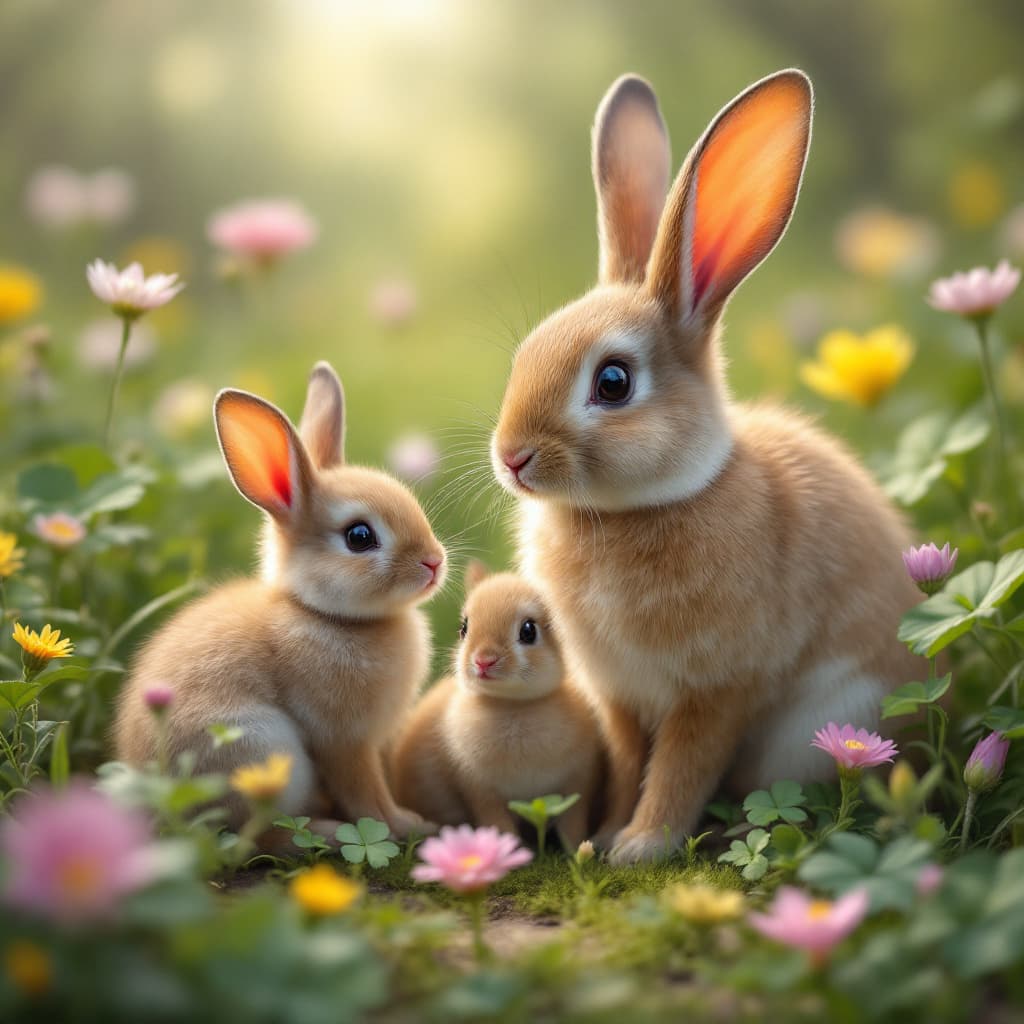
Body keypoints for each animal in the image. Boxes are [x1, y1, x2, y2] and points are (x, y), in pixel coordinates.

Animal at [114, 361, 446, 840]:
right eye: (359, 536)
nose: (434, 562)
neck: (322, 614)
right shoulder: (345, 740)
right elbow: (366, 795)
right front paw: (405, 825)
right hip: (261, 749)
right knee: (265, 833)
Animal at [391, 561, 603, 848]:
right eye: (464, 628)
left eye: (528, 631)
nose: (483, 660)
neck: (512, 705)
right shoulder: (480, 791)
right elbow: (498, 824)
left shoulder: (579, 780)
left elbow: (573, 824)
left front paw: (579, 849)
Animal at [488, 69, 923, 864]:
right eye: (525, 354)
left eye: (614, 382)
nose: (512, 457)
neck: (631, 511)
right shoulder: (619, 694)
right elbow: (629, 761)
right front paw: (602, 838)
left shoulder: (716, 689)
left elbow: (681, 769)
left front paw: (642, 846)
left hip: (824, 727)